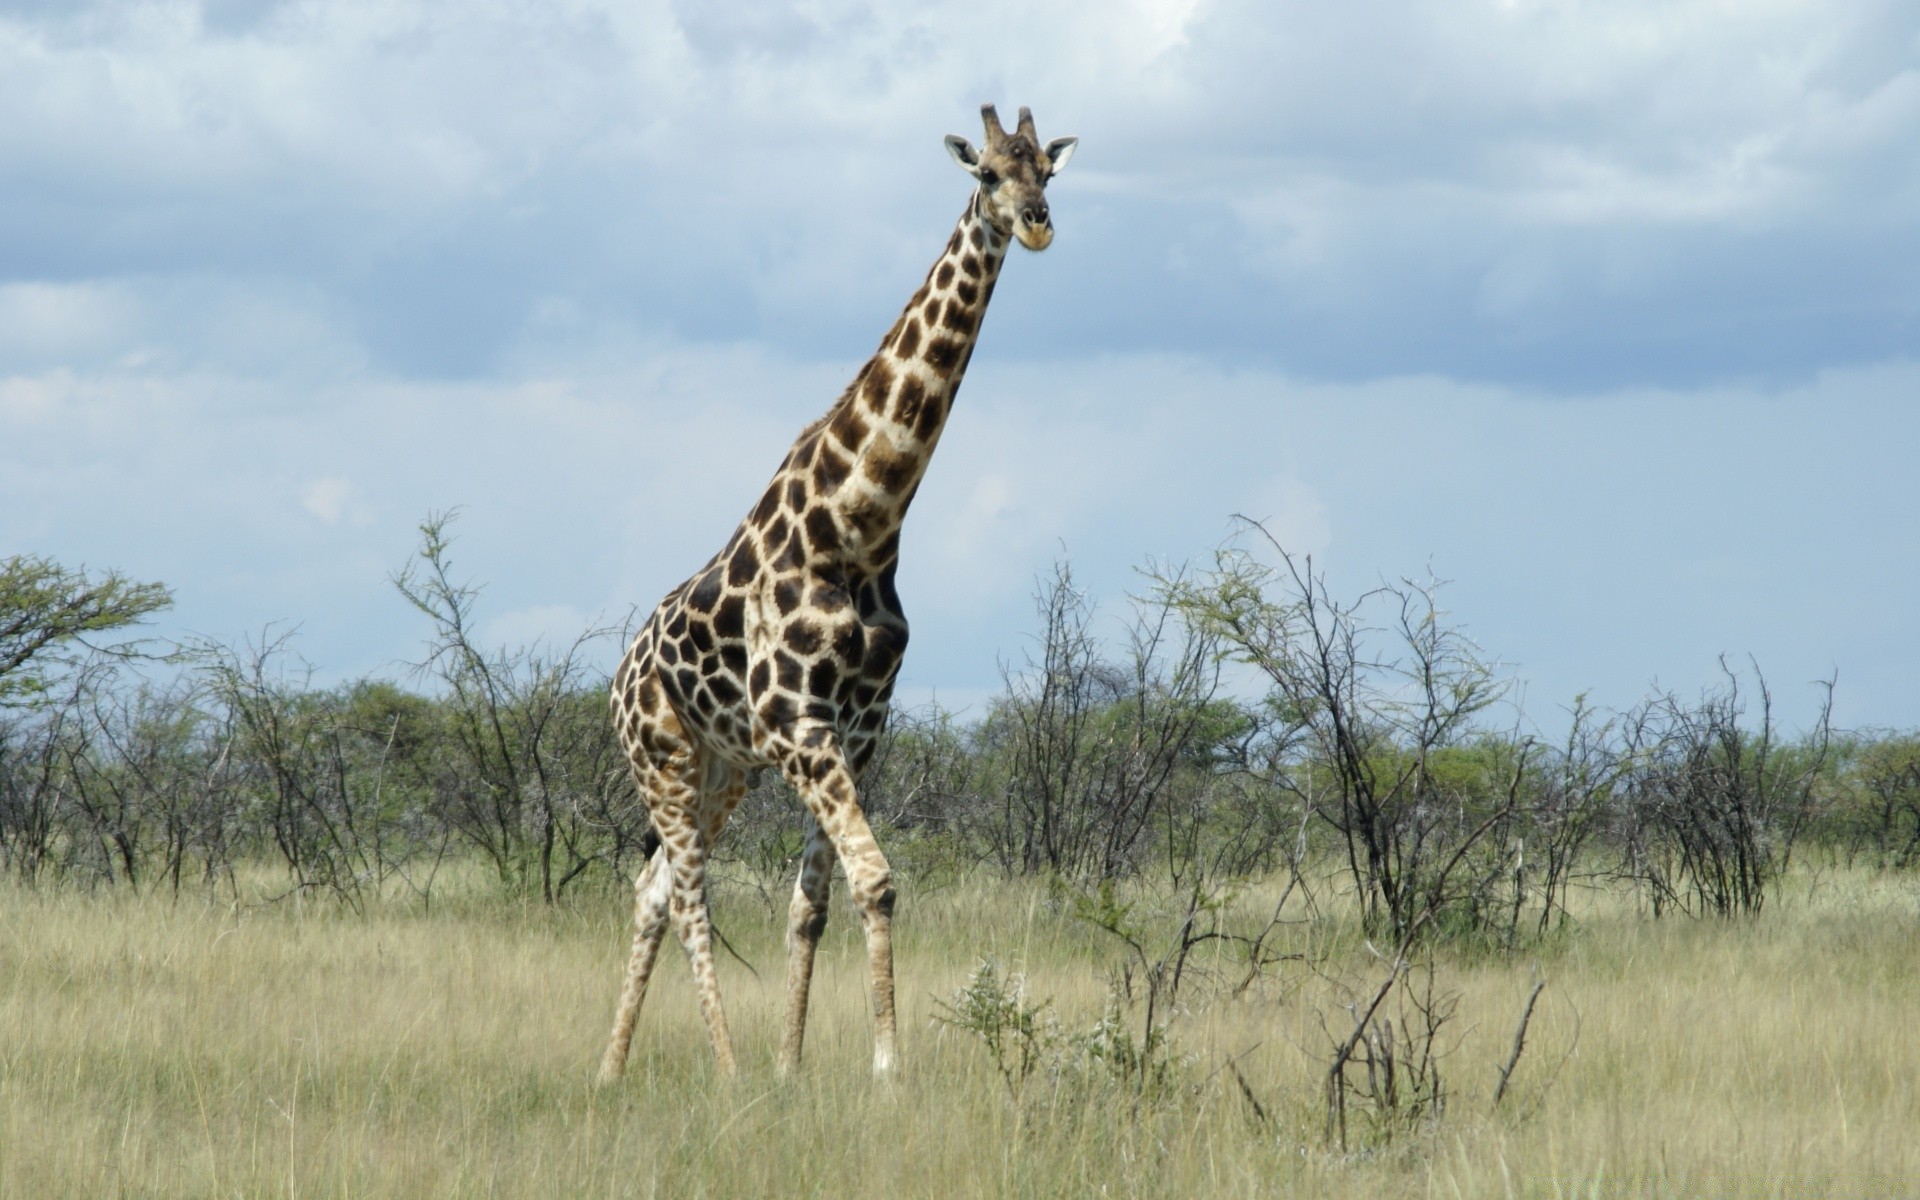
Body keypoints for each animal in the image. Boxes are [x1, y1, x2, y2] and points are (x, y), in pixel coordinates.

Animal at [599, 105, 1082, 1075]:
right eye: (987, 174)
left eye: (1047, 170)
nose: (1039, 223)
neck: (860, 529)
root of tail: (618, 676)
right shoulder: (801, 724)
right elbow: (876, 878)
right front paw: (884, 1067)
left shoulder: (855, 736)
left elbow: (814, 901)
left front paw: (794, 1066)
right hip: (661, 756)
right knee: (690, 896)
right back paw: (724, 1067)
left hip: (721, 767)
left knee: (652, 888)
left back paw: (610, 1070)